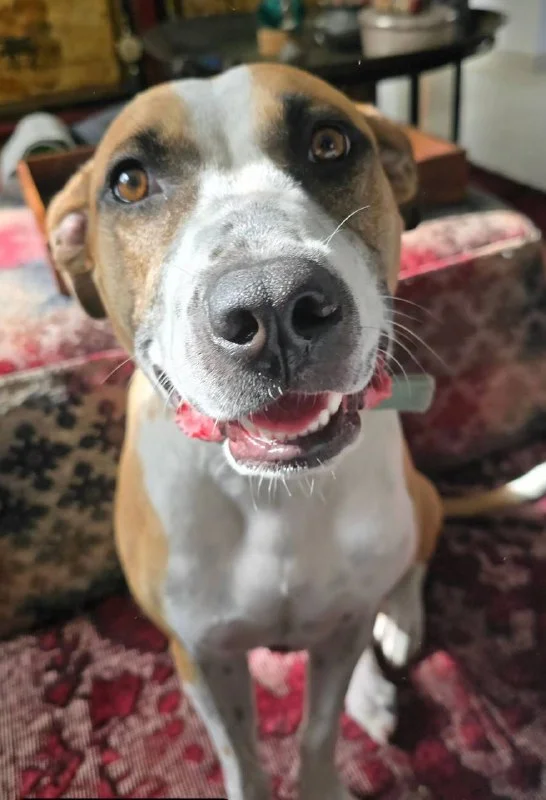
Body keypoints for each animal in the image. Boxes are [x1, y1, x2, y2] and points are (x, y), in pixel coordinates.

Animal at [47, 63, 508, 799]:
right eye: (129, 182)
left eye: (329, 142)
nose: (273, 305)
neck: (275, 495)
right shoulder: (202, 657)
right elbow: (243, 756)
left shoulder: (339, 633)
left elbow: (317, 731)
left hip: (413, 506)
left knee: (409, 563)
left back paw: (397, 633)